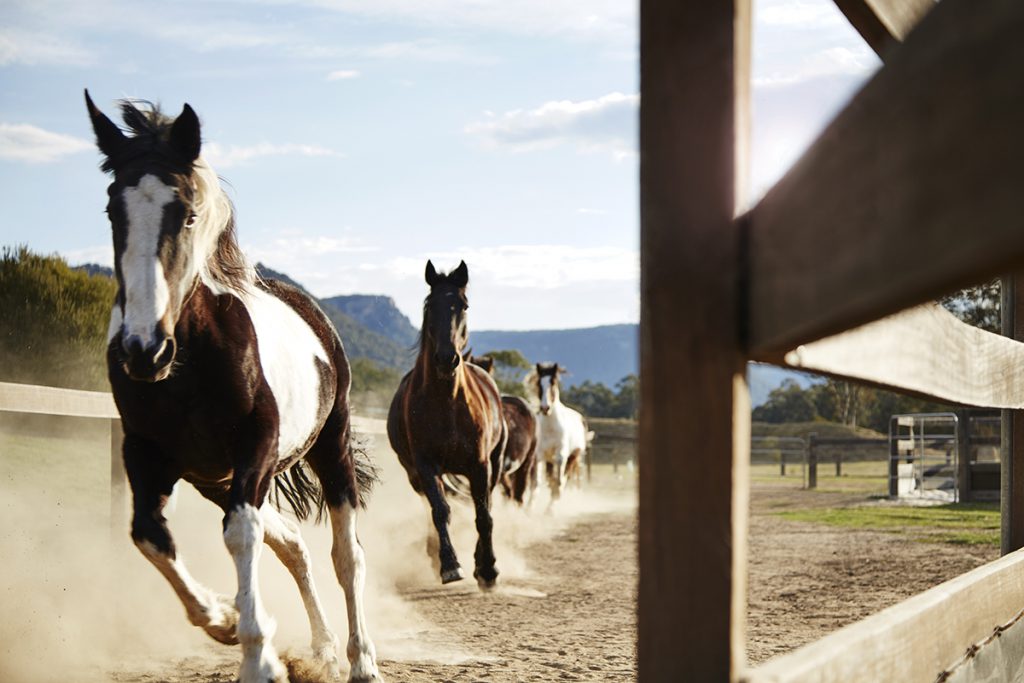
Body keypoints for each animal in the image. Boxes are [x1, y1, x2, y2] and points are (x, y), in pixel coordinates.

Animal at [86, 92, 385, 683]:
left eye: (187, 212)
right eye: (114, 210)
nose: (143, 350)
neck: (190, 366)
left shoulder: (257, 447)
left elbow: (241, 535)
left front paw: (257, 658)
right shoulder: (147, 453)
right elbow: (148, 536)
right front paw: (226, 619)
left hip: (327, 447)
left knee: (346, 555)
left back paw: (361, 662)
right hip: (215, 479)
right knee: (292, 545)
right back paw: (322, 650)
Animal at [385, 262, 505, 589]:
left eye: (463, 305)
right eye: (430, 305)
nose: (446, 358)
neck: (446, 402)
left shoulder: (480, 464)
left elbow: (484, 516)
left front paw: (487, 568)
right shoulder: (425, 466)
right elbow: (439, 511)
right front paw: (450, 565)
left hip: (494, 465)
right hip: (414, 474)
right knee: (431, 507)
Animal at [528, 362, 593, 501]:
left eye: (553, 382)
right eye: (539, 383)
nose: (545, 408)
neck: (550, 427)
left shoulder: (561, 454)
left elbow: (558, 483)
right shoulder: (540, 455)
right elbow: (536, 484)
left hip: (573, 457)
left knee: (564, 481)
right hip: (550, 461)